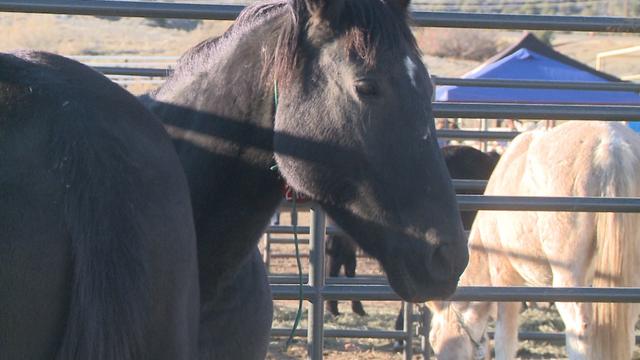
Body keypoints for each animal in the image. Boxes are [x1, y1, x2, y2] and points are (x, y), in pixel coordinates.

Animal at [430, 121, 640, 360]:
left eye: (435, 343)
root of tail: (610, 147)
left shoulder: (504, 277)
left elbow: (505, 337)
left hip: (569, 276)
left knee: (580, 330)